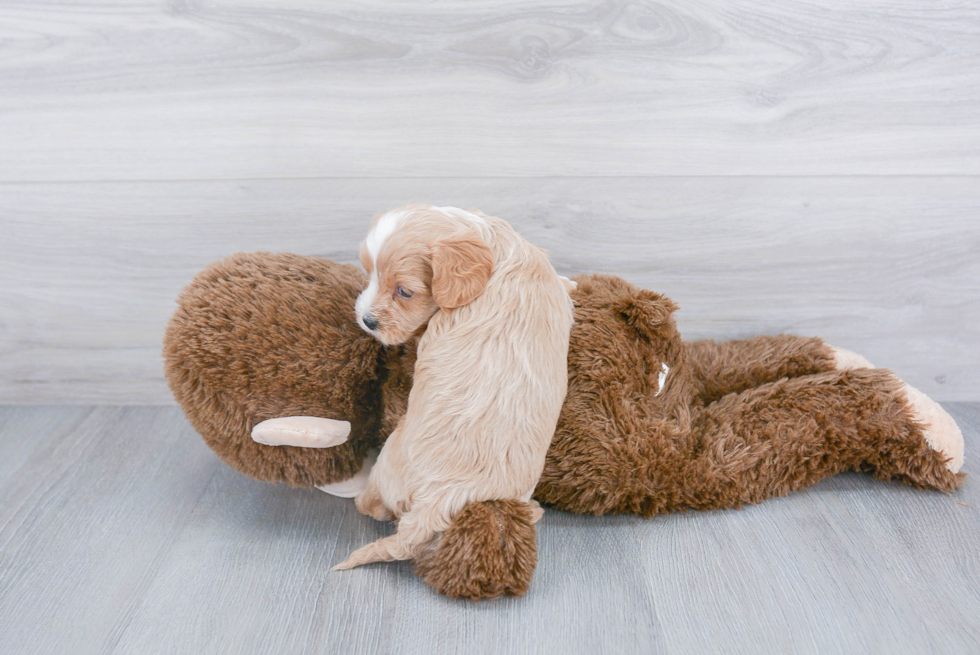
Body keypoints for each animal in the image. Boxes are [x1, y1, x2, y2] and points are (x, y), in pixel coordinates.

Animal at [334, 204, 572, 568]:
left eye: (404, 291)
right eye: (369, 272)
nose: (367, 321)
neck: (494, 249)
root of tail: (436, 505)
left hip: (388, 460)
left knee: (377, 506)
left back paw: (364, 500)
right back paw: (531, 511)